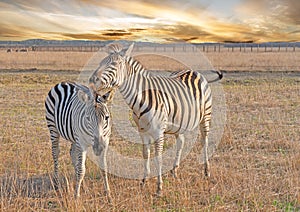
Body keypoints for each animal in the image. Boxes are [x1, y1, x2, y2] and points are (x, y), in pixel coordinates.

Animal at [88, 43, 221, 197]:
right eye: (100, 63)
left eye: (115, 64)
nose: (92, 81)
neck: (141, 98)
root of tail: (194, 71)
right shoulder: (142, 131)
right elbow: (146, 154)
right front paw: (143, 182)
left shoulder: (158, 132)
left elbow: (158, 157)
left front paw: (159, 188)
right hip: (179, 122)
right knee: (181, 142)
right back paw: (175, 171)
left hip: (206, 116)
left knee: (204, 141)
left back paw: (206, 171)